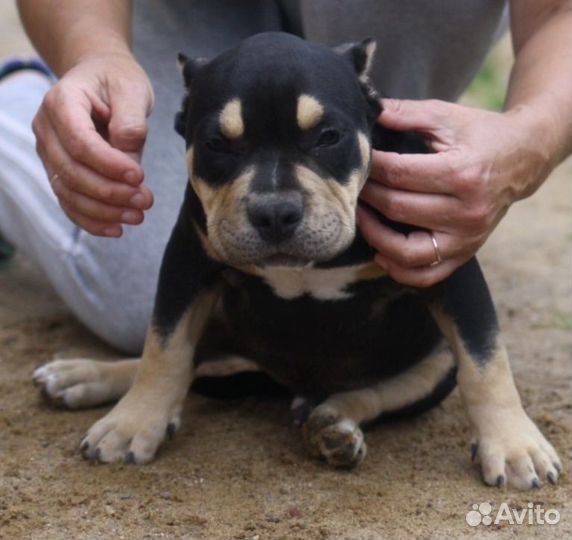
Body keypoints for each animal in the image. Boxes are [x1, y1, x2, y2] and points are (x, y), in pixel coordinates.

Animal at [35, 32, 564, 490]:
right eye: (218, 144)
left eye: (328, 137)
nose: (274, 213)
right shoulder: (188, 263)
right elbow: (164, 348)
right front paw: (134, 421)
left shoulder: (449, 265)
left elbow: (485, 360)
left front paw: (514, 445)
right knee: (190, 360)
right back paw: (85, 375)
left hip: (431, 367)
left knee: (376, 392)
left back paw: (334, 425)